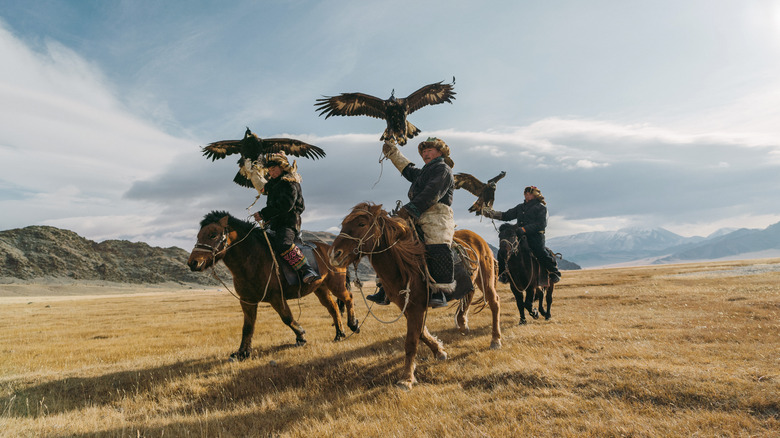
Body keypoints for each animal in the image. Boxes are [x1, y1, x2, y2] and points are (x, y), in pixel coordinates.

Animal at [187, 211, 362, 360]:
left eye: (213, 234)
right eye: (199, 235)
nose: (193, 263)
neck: (252, 258)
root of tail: (332, 249)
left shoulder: (276, 297)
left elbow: (287, 318)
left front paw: (301, 336)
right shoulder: (247, 301)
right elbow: (247, 326)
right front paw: (242, 353)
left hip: (336, 284)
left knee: (348, 298)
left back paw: (353, 325)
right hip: (321, 288)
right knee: (333, 307)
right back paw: (339, 334)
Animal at [328, 203, 500, 390]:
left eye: (361, 224)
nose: (334, 255)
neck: (403, 264)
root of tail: (477, 238)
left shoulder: (416, 307)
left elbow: (411, 342)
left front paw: (406, 379)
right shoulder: (407, 306)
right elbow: (421, 333)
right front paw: (439, 351)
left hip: (486, 278)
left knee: (494, 303)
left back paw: (495, 340)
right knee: (469, 293)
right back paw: (462, 324)